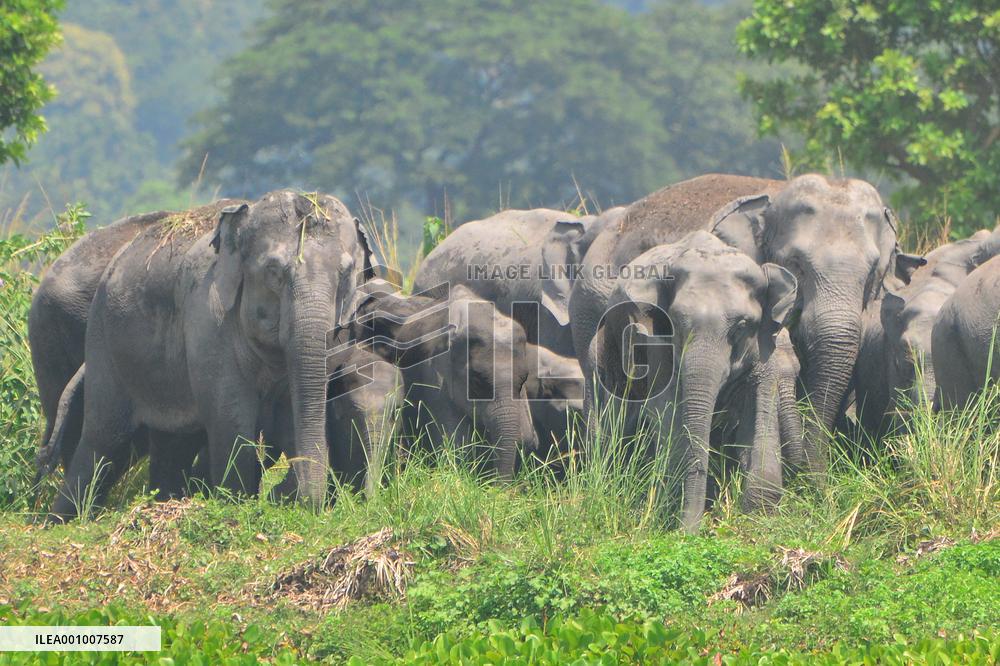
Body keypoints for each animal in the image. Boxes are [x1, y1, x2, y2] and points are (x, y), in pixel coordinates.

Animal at [48, 190, 379, 520]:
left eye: (346, 273)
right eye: (273, 271)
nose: (302, 503)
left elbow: (291, 412)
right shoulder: (208, 320)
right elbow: (231, 415)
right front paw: (237, 503)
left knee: (171, 443)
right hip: (104, 341)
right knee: (103, 440)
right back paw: (62, 521)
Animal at [589, 231, 797, 531]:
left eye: (742, 327)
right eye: (675, 324)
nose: (688, 531)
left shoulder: (766, 342)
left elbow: (760, 403)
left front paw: (759, 515)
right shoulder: (655, 340)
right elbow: (668, 407)